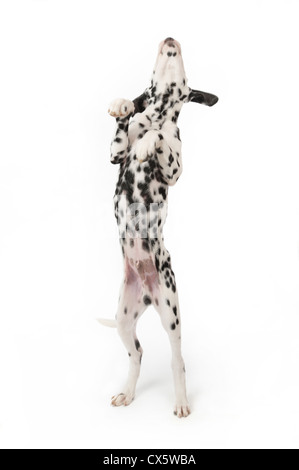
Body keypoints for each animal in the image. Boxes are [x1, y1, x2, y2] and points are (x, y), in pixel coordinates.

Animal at [103, 37, 218, 418]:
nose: (170, 40)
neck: (159, 116)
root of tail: (148, 291)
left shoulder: (175, 168)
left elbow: (160, 141)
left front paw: (147, 142)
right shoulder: (114, 154)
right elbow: (125, 132)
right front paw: (124, 106)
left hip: (171, 312)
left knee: (176, 360)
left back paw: (181, 401)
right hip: (124, 318)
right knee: (137, 353)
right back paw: (127, 393)